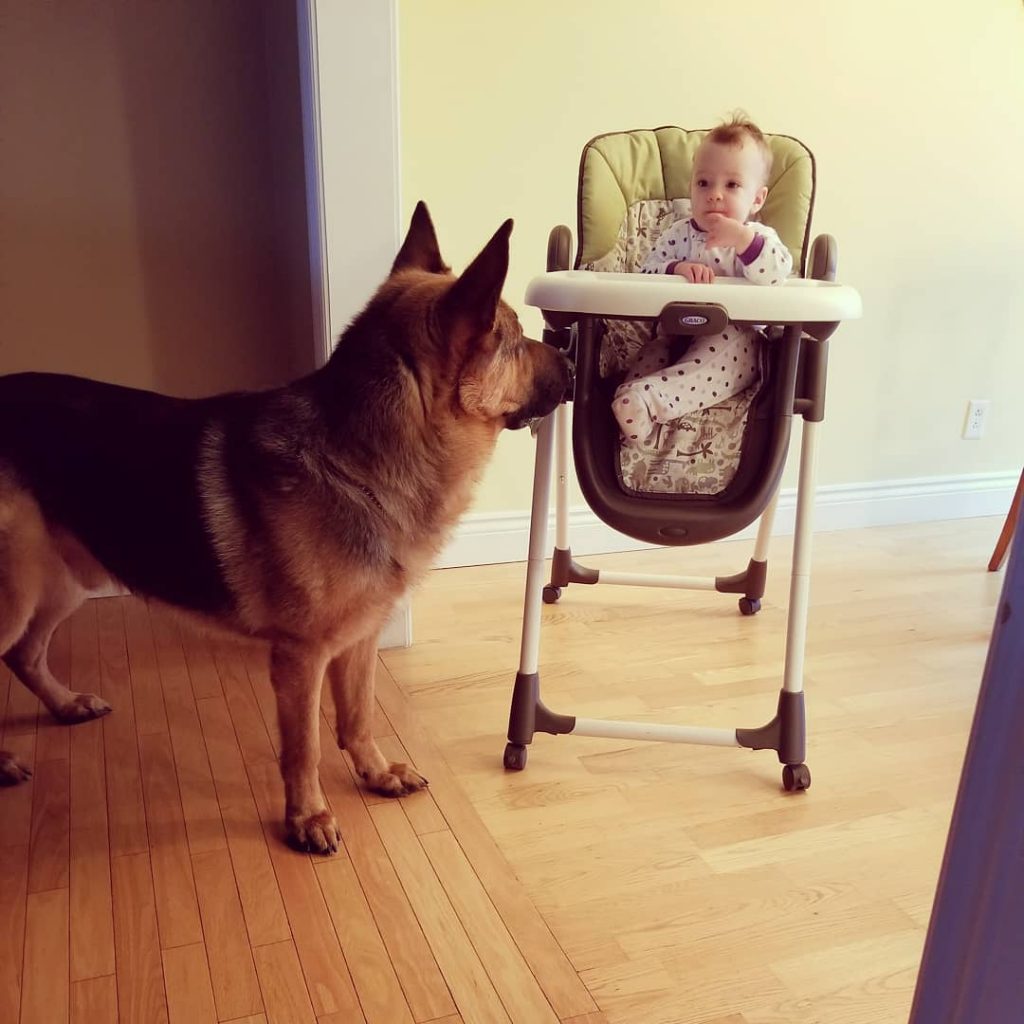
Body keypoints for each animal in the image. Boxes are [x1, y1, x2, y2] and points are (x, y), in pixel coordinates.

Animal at [0, 203, 569, 851]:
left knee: (24, 655)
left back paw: (64, 705)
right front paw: (308, 817)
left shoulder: (360, 640)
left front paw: (375, 773)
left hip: (63, 580)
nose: (572, 359)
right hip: (17, 593)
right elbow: (304, 748)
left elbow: (358, 718)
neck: (356, 461)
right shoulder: (300, 659)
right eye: (515, 340)